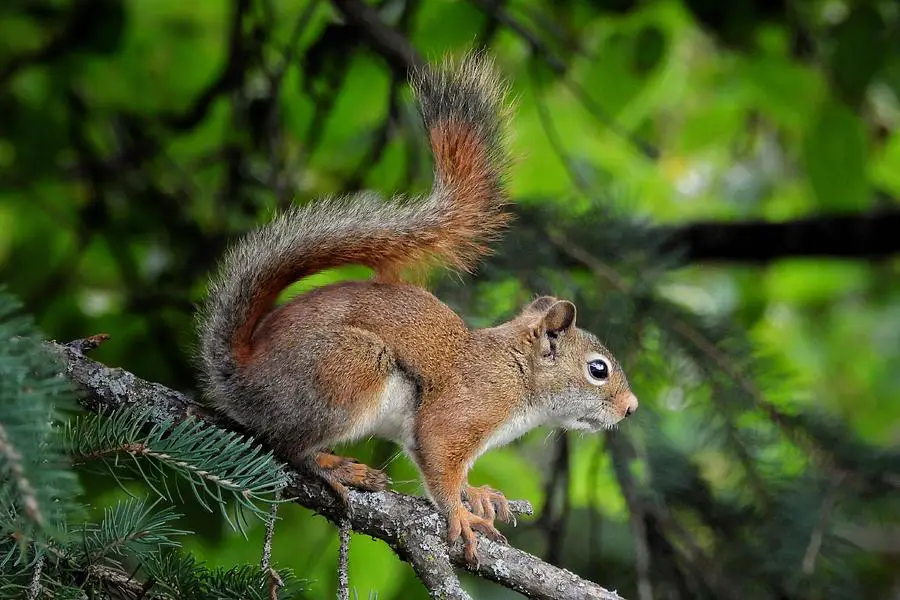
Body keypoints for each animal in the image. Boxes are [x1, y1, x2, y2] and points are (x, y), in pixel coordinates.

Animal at [199, 51, 640, 564]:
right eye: (597, 370)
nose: (631, 408)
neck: (517, 373)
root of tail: (241, 375)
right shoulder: (460, 414)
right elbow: (440, 462)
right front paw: (461, 515)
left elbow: (454, 473)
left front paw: (478, 494)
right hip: (346, 367)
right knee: (285, 444)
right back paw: (337, 468)